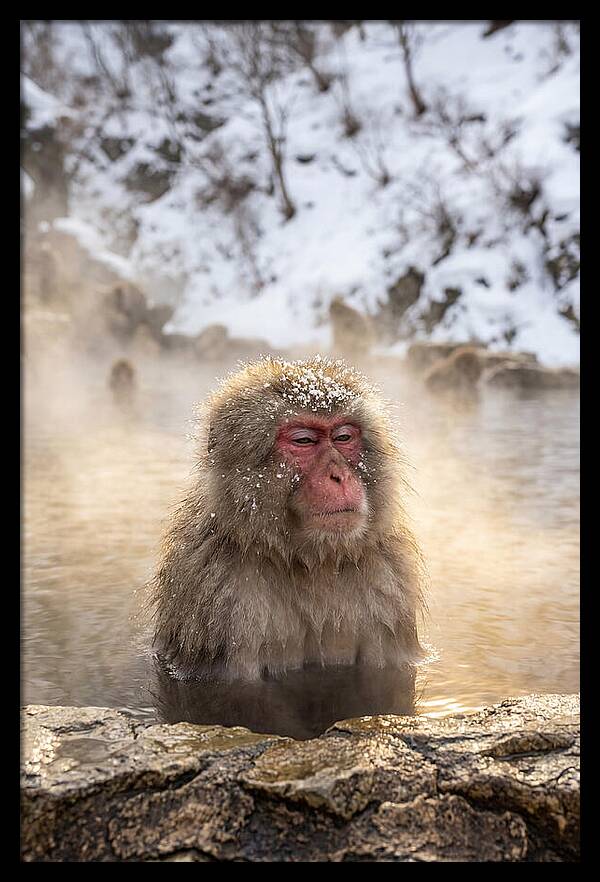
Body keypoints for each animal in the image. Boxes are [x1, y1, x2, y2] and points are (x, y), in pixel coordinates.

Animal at [149, 356, 426, 693]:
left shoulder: (389, 583)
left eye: (343, 437)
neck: (311, 562)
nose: (339, 476)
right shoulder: (218, 595)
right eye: (303, 441)